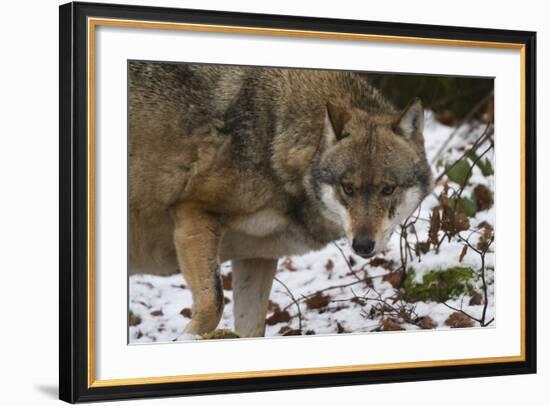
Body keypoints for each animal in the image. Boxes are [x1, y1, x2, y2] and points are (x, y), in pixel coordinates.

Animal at [129, 61, 436, 338]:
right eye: (348, 188)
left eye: (388, 189)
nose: (362, 245)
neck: (274, 138)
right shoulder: (194, 213)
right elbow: (213, 303)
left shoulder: (256, 256)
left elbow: (251, 329)